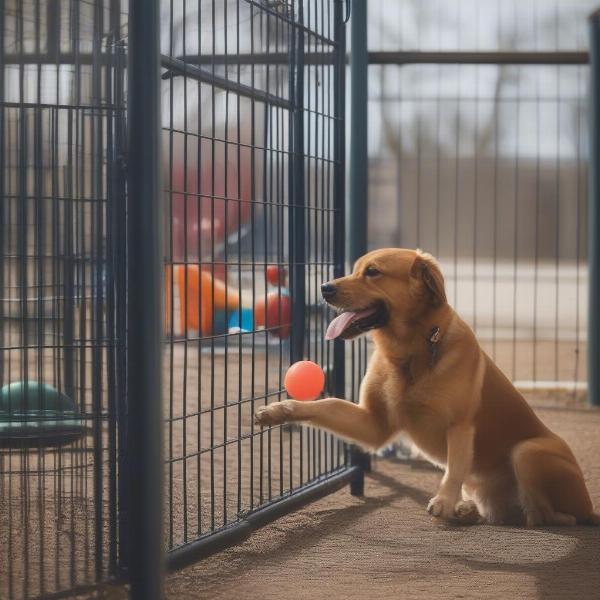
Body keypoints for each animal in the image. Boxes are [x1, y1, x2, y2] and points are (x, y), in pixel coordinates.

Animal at [254, 247, 600, 524]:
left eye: (373, 272)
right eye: (355, 269)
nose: (324, 287)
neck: (409, 353)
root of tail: (589, 507)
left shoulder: (460, 425)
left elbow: (454, 467)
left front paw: (445, 501)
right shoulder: (374, 424)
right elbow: (325, 405)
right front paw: (278, 411)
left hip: (527, 452)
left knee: (548, 516)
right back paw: (468, 510)